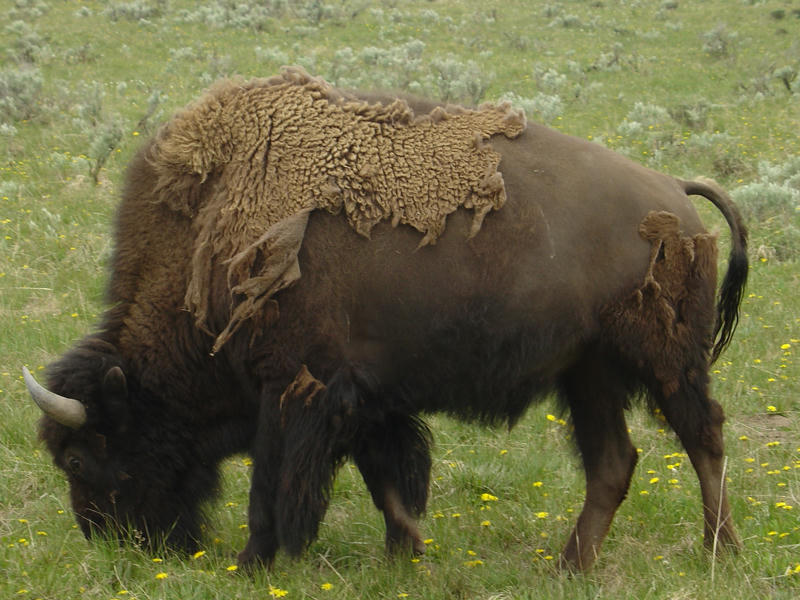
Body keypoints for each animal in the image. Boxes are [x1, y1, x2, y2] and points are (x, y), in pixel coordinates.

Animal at [24, 70, 747, 571]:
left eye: (82, 458)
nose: (115, 546)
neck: (212, 222)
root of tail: (675, 193)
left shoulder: (293, 389)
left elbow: (273, 487)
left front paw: (252, 564)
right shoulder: (365, 397)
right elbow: (386, 480)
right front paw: (407, 553)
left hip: (666, 362)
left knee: (703, 436)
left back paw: (719, 550)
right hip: (588, 372)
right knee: (613, 462)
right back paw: (571, 565)